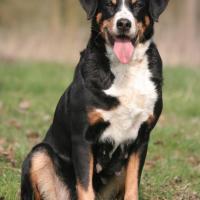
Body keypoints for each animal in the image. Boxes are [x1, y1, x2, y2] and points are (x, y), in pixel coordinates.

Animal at [20, 0, 169, 199]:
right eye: (109, 5)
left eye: (137, 5)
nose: (123, 23)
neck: (124, 69)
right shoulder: (83, 138)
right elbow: (85, 186)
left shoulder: (141, 138)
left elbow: (132, 186)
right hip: (39, 153)